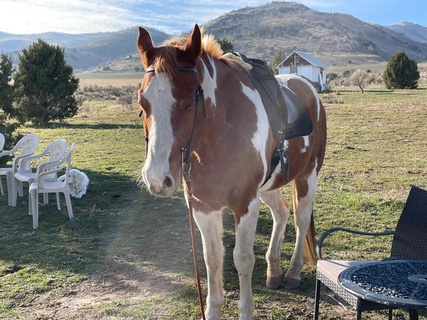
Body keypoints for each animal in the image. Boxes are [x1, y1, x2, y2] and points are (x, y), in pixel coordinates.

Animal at [137, 23, 328, 318]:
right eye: (142, 102)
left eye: (189, 101)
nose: (157, 179)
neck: (217, 134)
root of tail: (307, 88)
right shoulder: (203, 206)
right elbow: (213, 259)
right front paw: (213, 309)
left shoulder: (245, 202)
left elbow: (243, 259)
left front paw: (246, 309)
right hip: (268, 185)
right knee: (282, 212)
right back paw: (274, 271)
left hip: (307, 175)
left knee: (301, 219)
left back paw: (293, 273)